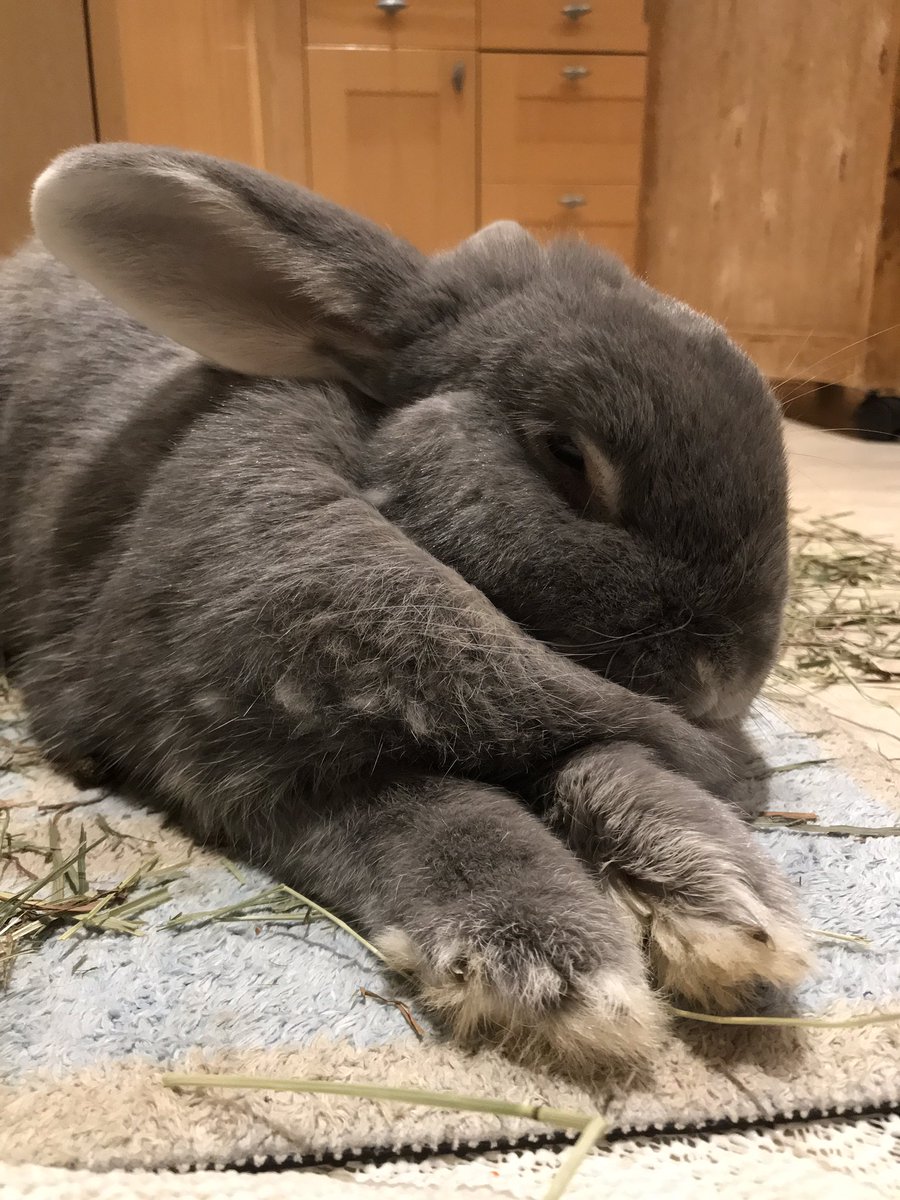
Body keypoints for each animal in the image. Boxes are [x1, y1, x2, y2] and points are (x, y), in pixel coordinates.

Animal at [0, 144, 811, 1073]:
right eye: (565, 456)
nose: (732, 675)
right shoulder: (255, 763)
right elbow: (443, 815)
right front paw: (562, 974)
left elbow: (612, 761)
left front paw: (727, 910)